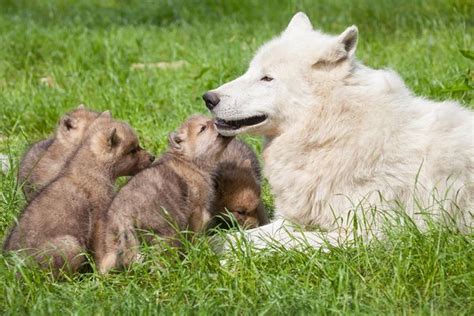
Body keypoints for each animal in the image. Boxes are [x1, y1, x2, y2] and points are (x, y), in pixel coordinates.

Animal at [204, 11, 474, 249]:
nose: (208, 98)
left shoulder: (366, 234)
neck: (333, 131)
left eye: (267, 78)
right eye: (250, 71)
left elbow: (286, 242)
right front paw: (209, 248)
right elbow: (244, 236)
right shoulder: (294, 219)